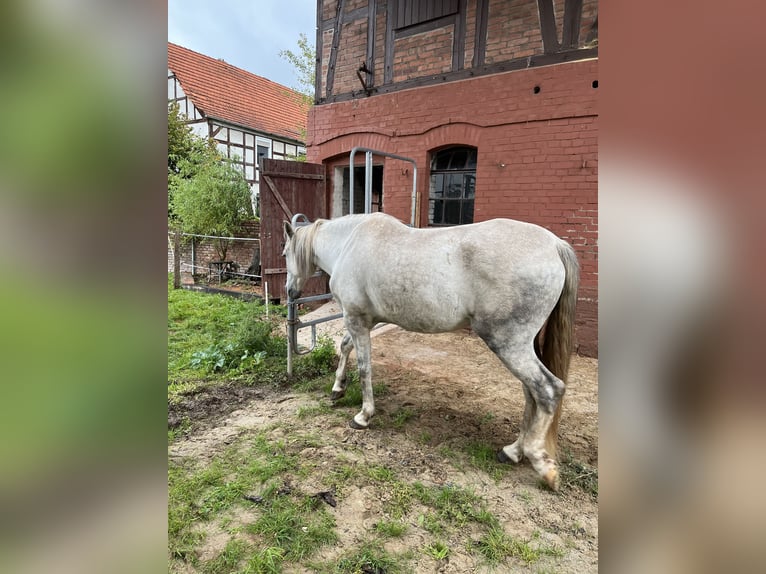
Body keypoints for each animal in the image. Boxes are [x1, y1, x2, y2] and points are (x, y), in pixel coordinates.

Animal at [282, 212, 579, 490]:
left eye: (285, 253)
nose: (289, 291)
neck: (349, 243)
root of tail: (555, 245)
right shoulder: (367, 320)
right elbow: (345, 346)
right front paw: (338, 388)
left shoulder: (356, 319)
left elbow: (364, 367)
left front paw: (363, 416)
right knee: (531, 394)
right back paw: (512, 452)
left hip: (507, 344)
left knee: (547, 390)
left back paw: (541, 464)